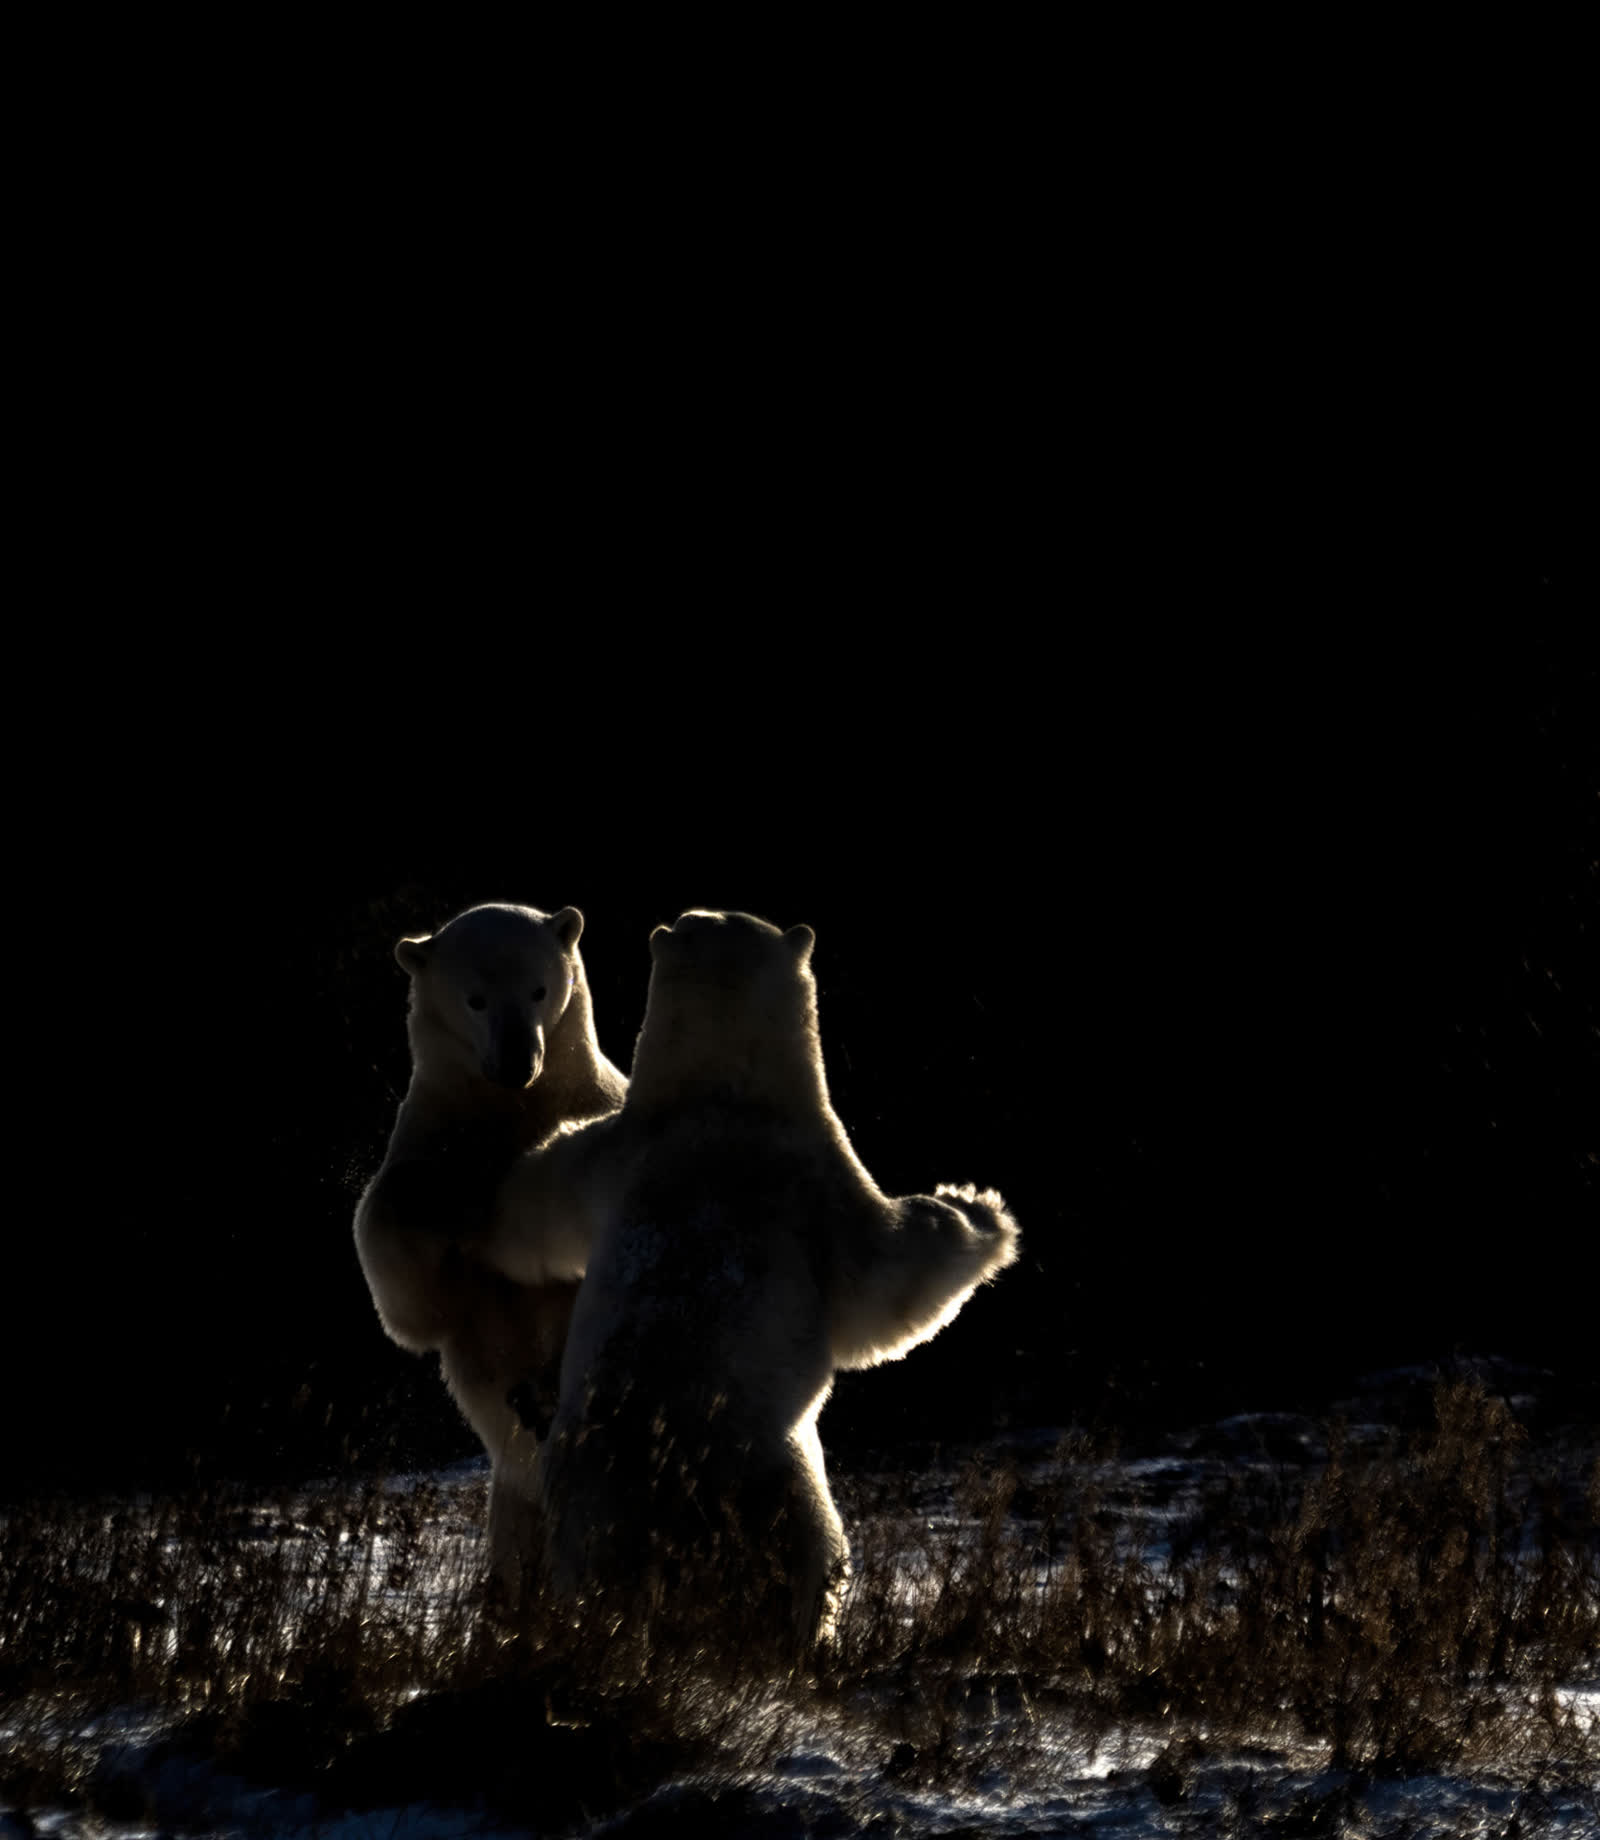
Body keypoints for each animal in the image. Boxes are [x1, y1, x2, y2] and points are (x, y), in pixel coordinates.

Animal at [353, 902, 626, 1601]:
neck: (515, 1111)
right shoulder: (431, 1132)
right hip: (515, 1497)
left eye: (539, 989)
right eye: (475, 998)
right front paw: (438, 1205)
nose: (515, 1061)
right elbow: (414, 1306)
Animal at [471, 909, 1020, 1655]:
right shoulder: (813, 1174)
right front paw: (983, 1211)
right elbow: (891, 1277)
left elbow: (537, 1198)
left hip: (579, 1505)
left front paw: (490, 1222)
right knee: (805, 1549)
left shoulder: (612, 1155)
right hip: (764, 1475)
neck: (720, 1098)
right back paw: (802, 1636)